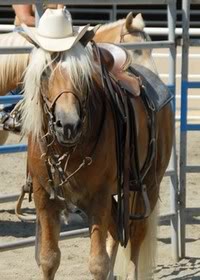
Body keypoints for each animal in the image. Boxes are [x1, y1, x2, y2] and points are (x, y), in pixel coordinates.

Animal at [20, 27, 173, 278]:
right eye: (45, 73)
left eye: (82, 76)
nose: (68, 124)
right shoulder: (45, 198)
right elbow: (49, 258)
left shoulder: (98, 198)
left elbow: (98, 263)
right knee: (117, 231)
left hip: (149, 184)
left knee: (136, 234)